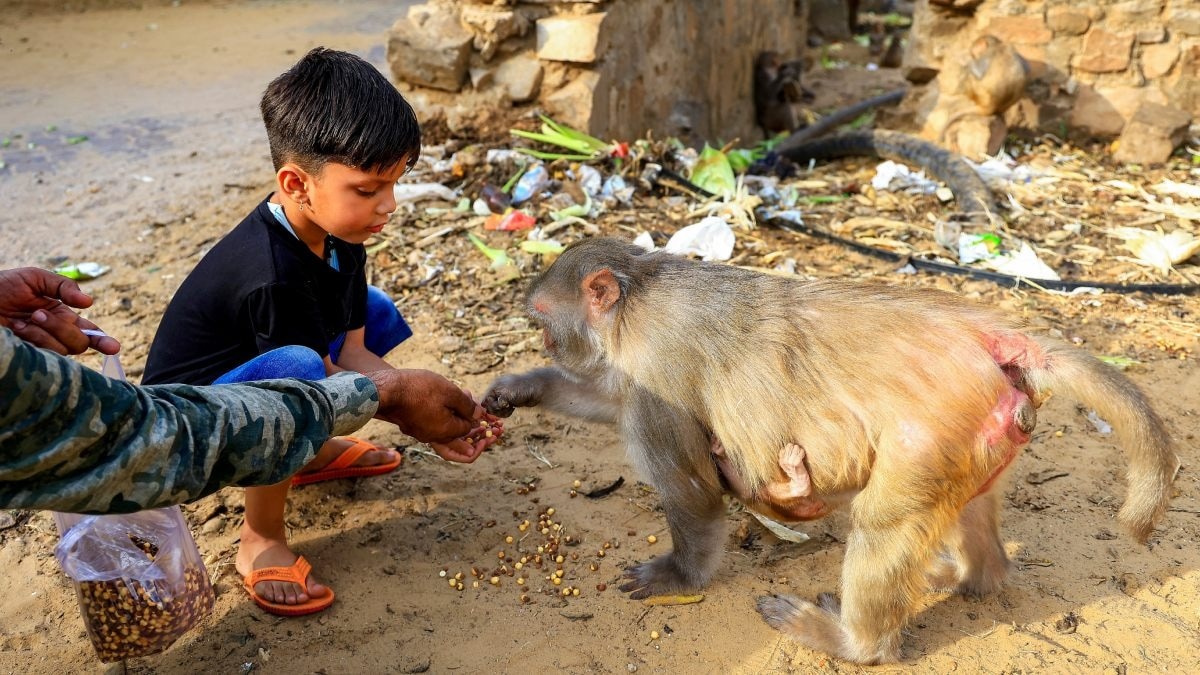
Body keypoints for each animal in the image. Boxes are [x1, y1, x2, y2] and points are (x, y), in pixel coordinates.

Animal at [482, 237, 1179, 665]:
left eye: (541, 319)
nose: (547, 347)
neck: (640, 296)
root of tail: (994, 336)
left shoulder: (659, 371)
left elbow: (692, 492)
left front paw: (678, 576)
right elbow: (607, 395)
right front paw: (519, 388)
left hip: (932, 432)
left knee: (884, 521)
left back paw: (854, 643)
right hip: (981, 433)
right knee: (965, 518)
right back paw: (971, 575)